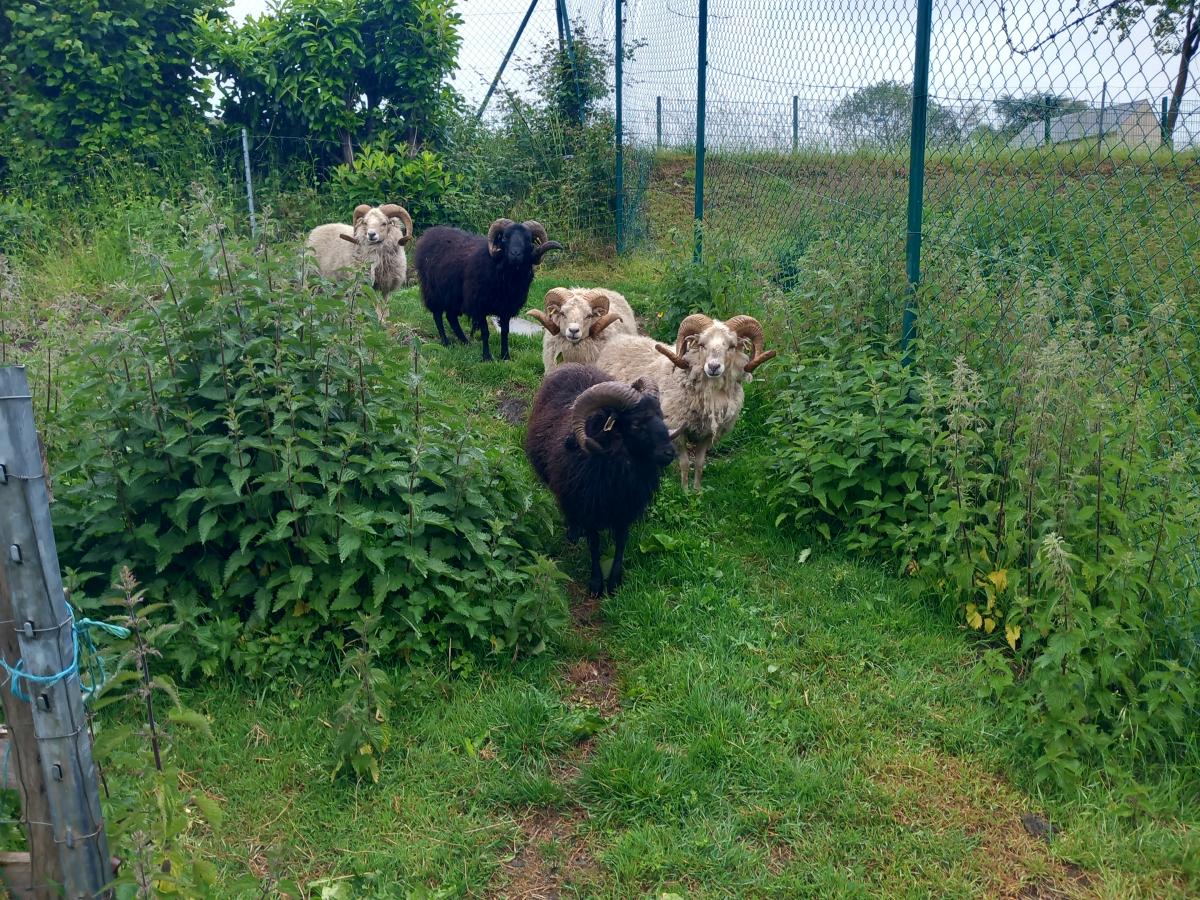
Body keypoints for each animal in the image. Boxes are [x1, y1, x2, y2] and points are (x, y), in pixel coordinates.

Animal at [413, 218, 563, 361]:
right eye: (505, 237)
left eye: (528, 239)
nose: (515, 254)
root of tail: (428, 234)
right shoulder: (478, 305)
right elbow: (485, 332)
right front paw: (487, 357)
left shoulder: (506, 308)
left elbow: (505, 332)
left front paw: (505, 356)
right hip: (434, 291)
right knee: (437, 316)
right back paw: (446, 342)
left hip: (454, 297)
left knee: (451, 317)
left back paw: (465, 341)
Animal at [525, 363, 678, 596]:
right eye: (635, 424)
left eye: (660, 416)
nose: (670, 453)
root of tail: (573, 365)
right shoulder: (589, 509)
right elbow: (594, 545)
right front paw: (596, 584)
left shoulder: (625, 510)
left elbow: (621, 542)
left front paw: (614, 582)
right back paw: (573, 532)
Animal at [596, 314, 776, 492]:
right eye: (702, 345)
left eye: (731, 346)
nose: (713, 367)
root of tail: (617, 339)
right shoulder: (677, 430)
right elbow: (684, 463)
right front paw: (685, 491)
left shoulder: (707, 434)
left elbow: (699, 463)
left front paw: (697, 490)